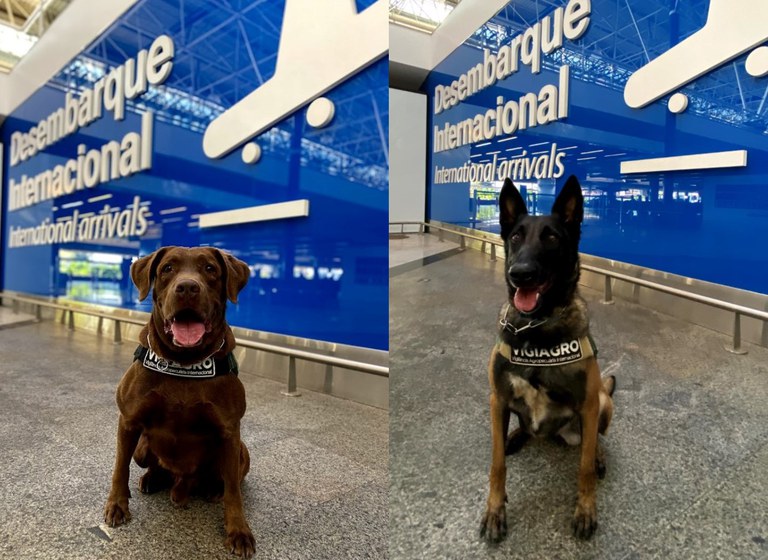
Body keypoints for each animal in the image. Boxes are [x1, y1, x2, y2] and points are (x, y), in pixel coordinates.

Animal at [102, 247, 256, 556]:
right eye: (168, 269)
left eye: (210, 269)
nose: (187, 287)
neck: (185, 362)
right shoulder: (129, 421)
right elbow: (119, 468)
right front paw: (117, 506)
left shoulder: (230, 431)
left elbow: (234, 491)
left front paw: (238, 530)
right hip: (142, 447)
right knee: (152, 465)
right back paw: (152, 479)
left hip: (242, 452)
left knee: (226, 478)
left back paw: (213, 489)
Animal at [480, 176, 616, 544]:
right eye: (515, 236)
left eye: (552, 237)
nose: (520, 274)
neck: (535, 327)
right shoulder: (497, 400)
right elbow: (497, 464)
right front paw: (494, 512)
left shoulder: (588, 403)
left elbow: (583, 468)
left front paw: (586, 511)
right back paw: (516, 435)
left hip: (603, 400)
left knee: (594, 440)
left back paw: (598, 455)